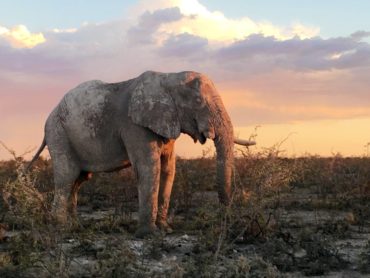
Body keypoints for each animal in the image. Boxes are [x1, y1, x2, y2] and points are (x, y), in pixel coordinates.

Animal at [28, 70, 254, 238]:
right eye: (198, 101)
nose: (225, 218)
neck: (169, 77)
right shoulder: (134, 125)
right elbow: (149, 168)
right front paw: (149, 234)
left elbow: (168, 169)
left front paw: (165, 229)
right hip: (58, 133)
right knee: (66, 177)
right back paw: (61, 228)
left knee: (79, 180)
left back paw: (76, 226)